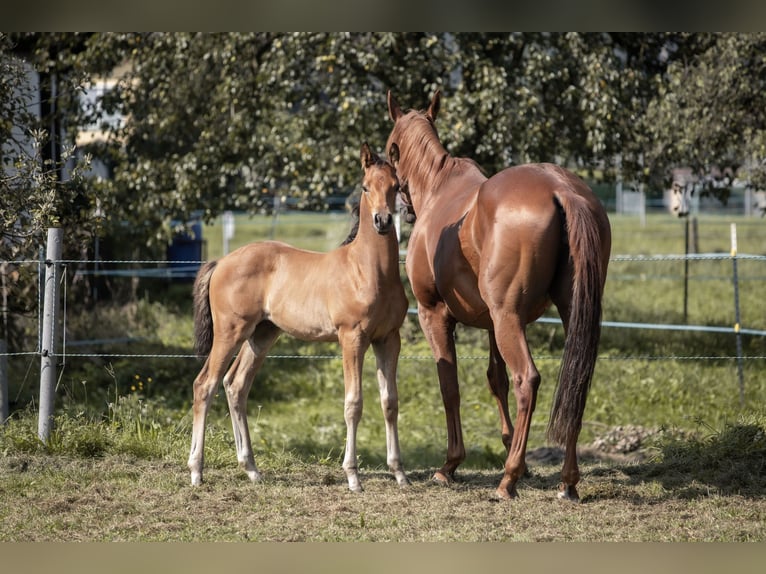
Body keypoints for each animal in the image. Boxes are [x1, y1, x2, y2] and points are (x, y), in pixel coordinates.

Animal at [188, 144, 412, 496]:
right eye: (365, 187)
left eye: (396, 186)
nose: (383, 220)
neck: (369, 270)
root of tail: (221, 261)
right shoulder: (352, 338)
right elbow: (354, 403)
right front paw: (352, 476)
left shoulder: (388, 339)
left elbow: (390, 402)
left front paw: (399, 473)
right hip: (231, 332)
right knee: (205, 384)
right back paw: (196, 471)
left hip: (262, 335)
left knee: (236, 385)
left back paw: (251, 469)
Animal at [388, 91, 616, 504]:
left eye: (389, 151)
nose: (405, 210)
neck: (441, 189)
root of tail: (562, 189)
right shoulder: (492, 323)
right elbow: (496, 379)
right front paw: (516, 453)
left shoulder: (435, 315)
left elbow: (449, 384)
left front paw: (451, 464)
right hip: (564, 314)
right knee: (575, 383)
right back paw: (566, 482)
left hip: (509, 318)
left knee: (527, 379)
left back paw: (507, 480)